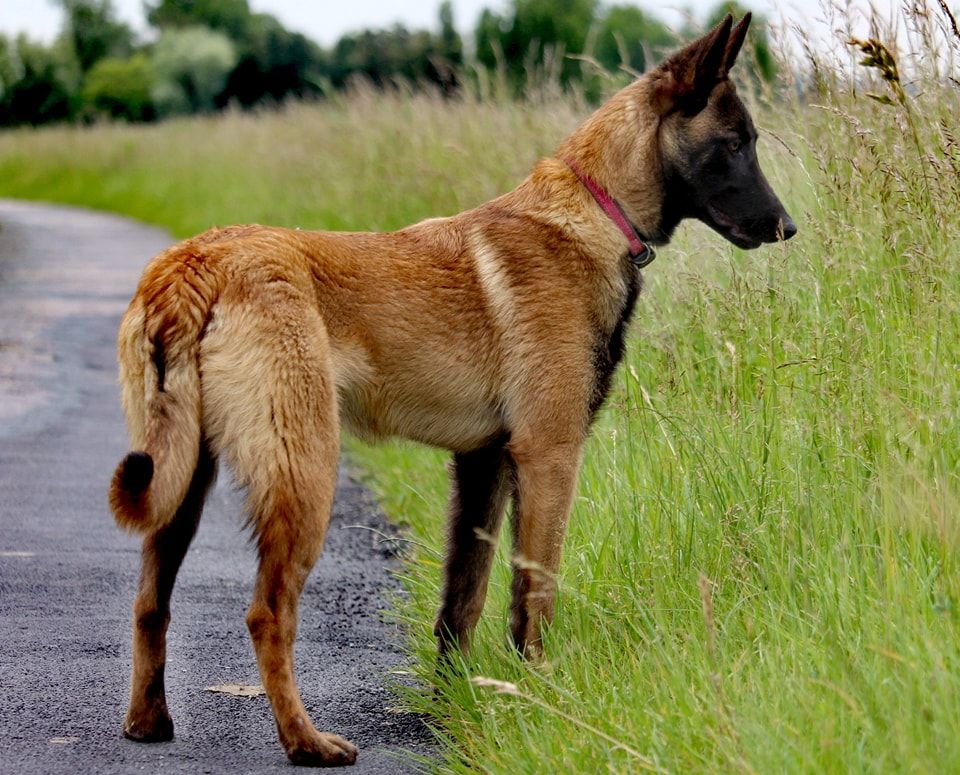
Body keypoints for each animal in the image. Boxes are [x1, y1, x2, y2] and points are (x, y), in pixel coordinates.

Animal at [109, 15, 796, 768]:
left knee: (149, 603)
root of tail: (193, 259)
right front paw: (539, 693)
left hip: (182, 481)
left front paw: (456, 704)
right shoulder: (549, 456)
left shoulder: (484, 463)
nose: (788, 227)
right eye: (735, 144)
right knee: (268, 613)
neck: (594, 213)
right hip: (304, 472)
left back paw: (148, 721)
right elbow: (535, 587)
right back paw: (305, 740)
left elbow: (462, 598)